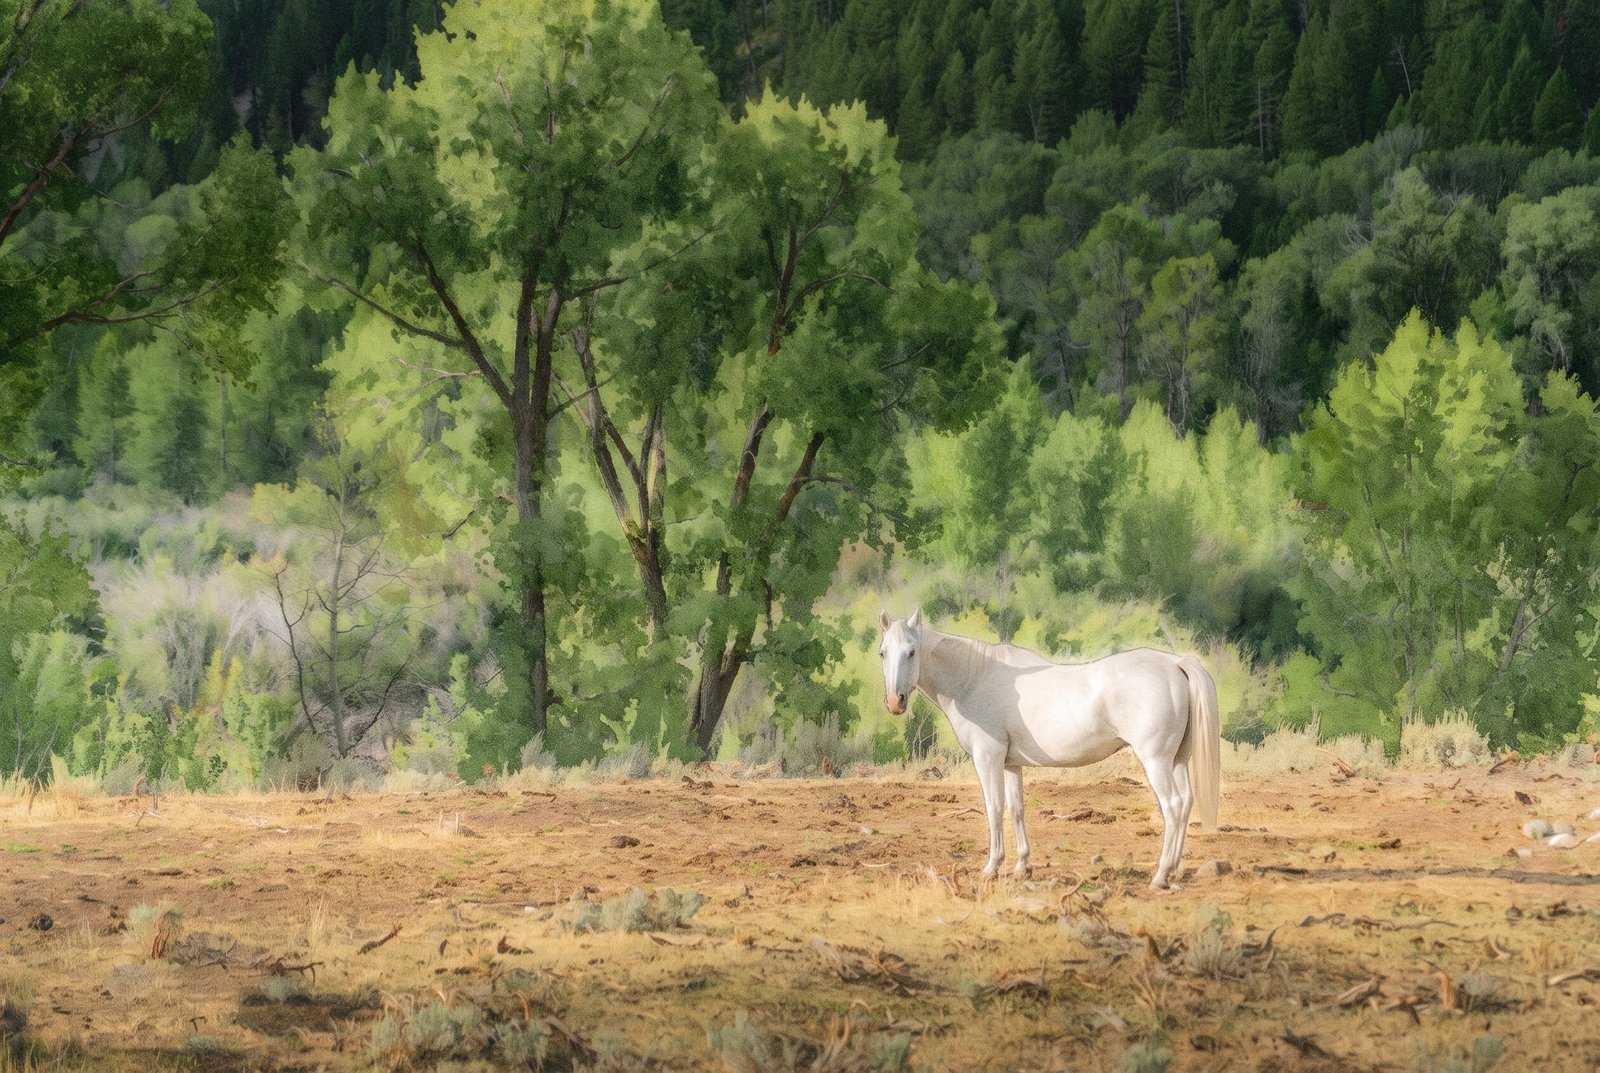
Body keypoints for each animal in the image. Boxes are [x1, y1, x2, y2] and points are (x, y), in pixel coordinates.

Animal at [879, 608, 1220, 890]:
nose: (895, 702)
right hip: (1177, 760)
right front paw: (1022, 866)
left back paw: (1160, 876)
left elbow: (994, 808)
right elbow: (1016, 809)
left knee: (1172, 806)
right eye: (883, 653)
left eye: (911, 652)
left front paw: (992, 867)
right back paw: (1174, 871)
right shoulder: (1010, 764)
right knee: (1186, 803)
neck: (974, 678)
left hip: (1156, 760)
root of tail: (1175, 663)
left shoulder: (988, 758)